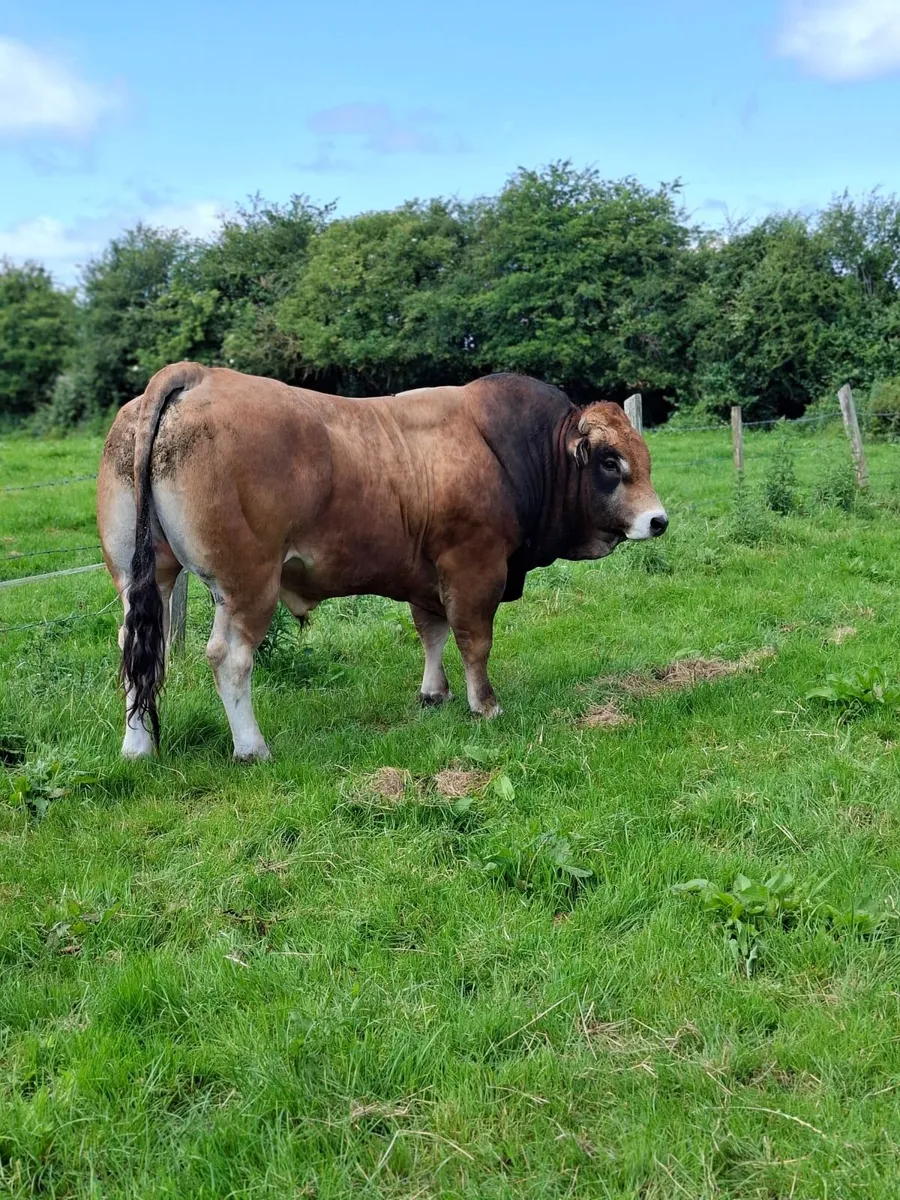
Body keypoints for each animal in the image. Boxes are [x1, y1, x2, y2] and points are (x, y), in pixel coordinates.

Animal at [97, 363, 667, 760]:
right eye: (610, 462)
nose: (658, 520)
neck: (510, 450)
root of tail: (195, 375)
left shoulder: (428, 577)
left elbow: (432, 633)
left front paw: (434, 693)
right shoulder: (475, 567)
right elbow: (473, 641)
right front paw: (485, 705)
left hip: (144, 576)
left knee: (139, 650)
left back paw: (137, 748)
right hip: (247, 584)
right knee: (229, 658)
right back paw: (251, 747)